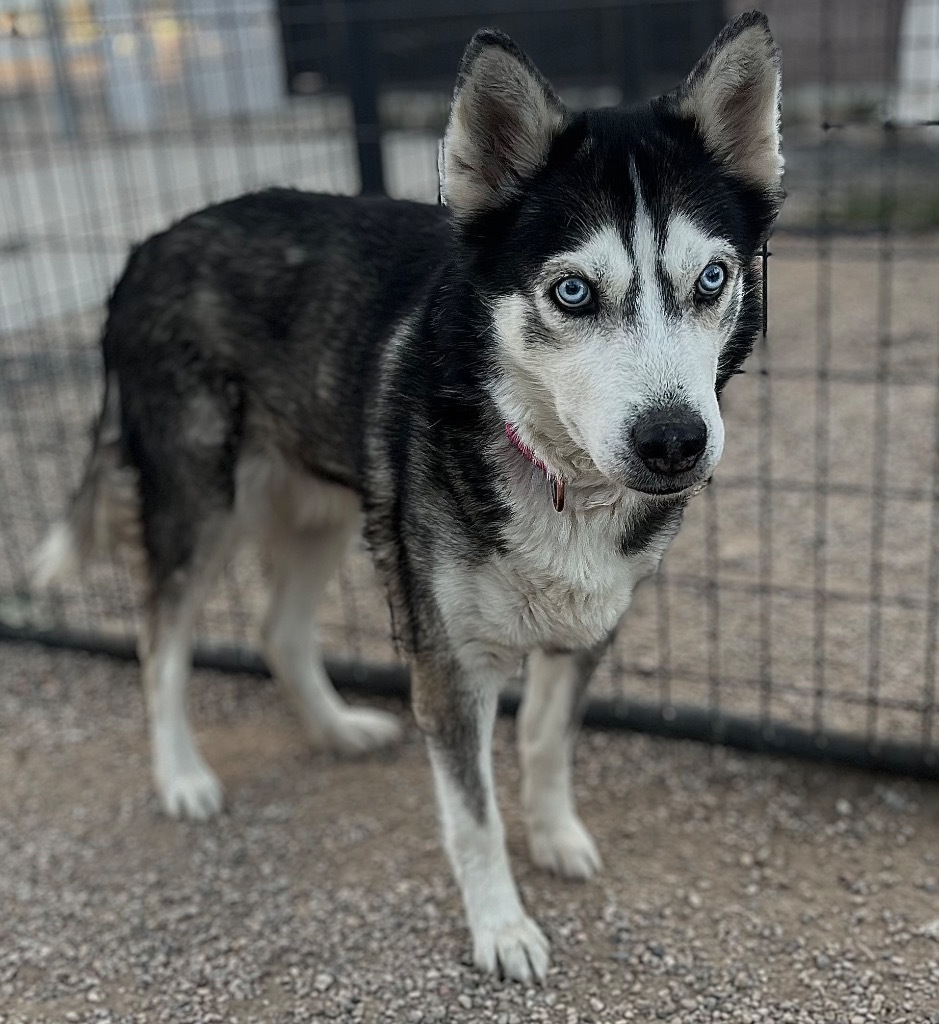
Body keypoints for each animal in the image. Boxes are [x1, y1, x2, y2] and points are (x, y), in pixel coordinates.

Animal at [34, 12, 782, 978]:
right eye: (572, 291)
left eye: (712, 279)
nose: (673, 442)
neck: (551, 470)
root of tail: (144, 248)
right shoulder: (448, 660)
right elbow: (472, 815)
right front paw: (501, 926)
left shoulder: (591, 626)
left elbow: (545, 743)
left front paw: (555, 835)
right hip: (198, 508)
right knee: (159, 643)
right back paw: (182, 778)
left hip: (321, 511)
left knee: (277, 630)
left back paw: (335, 730)